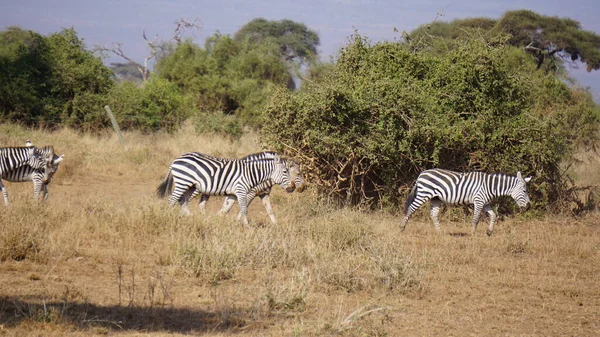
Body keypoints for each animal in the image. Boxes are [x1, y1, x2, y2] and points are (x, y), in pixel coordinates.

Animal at [155, 152, 296, 226]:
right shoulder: (241, 190)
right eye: (285, 172)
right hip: (183, 182)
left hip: (190, 186)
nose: (292, 188)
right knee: (172, 200)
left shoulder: (233, 193)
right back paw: (169, 218)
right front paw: (247, 227)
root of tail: (176, 159)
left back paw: (191, 217)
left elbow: (227, 208)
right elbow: (243, 208)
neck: (250, 173)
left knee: (183, 201)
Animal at [400, 168, 532, 236]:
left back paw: (440, 232)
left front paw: (489, 232)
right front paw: (473, 233)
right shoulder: (479, 201)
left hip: (436, 198)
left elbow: (494, 215)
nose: (528, 207)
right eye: (524, 191)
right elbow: (476, 219)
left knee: (433, 214)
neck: (491, 186)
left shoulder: (486, 203)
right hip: (423, 194)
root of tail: (421, 174)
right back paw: (402, 228)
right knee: (411, 208)